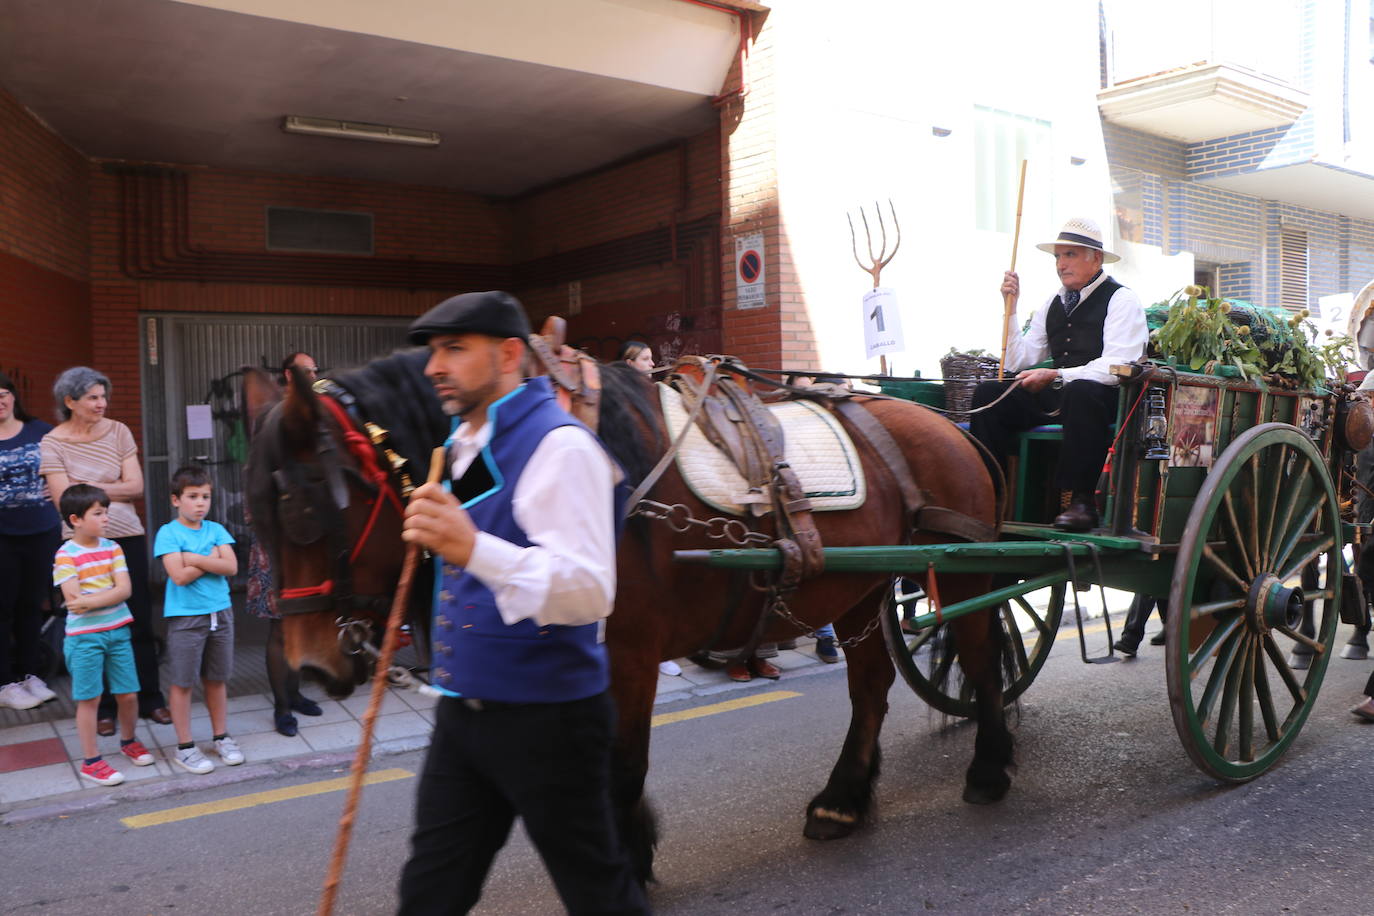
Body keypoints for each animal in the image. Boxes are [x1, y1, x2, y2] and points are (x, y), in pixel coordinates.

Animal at [239, 348, 1011, 878]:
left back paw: (989, 767)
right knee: (871, 685)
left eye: (306, 511)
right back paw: (843, 800)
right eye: (259, 519)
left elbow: (621, 762)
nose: (313, 667)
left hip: (959, 572)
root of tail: (949, 424)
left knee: (980, 660)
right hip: (858, 591)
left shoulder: (630, 654)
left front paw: (624, 854)